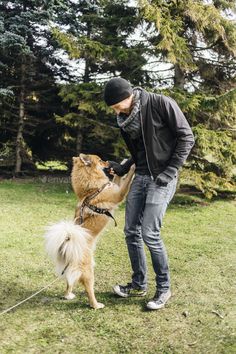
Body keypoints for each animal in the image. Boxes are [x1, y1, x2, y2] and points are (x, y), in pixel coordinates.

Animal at [43, 153, 134, 308]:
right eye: (101, 160)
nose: (108, 162)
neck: (92, 190)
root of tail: (68, 245)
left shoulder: (115, 187)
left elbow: (117, 179)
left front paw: (121, 165)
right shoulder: (119, 194)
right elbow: (127, 181)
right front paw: (133, 167)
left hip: (73, 271)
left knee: (69, 282)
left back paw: (68, 295)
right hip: (89, 272)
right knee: (88, 289)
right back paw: (96, 305)